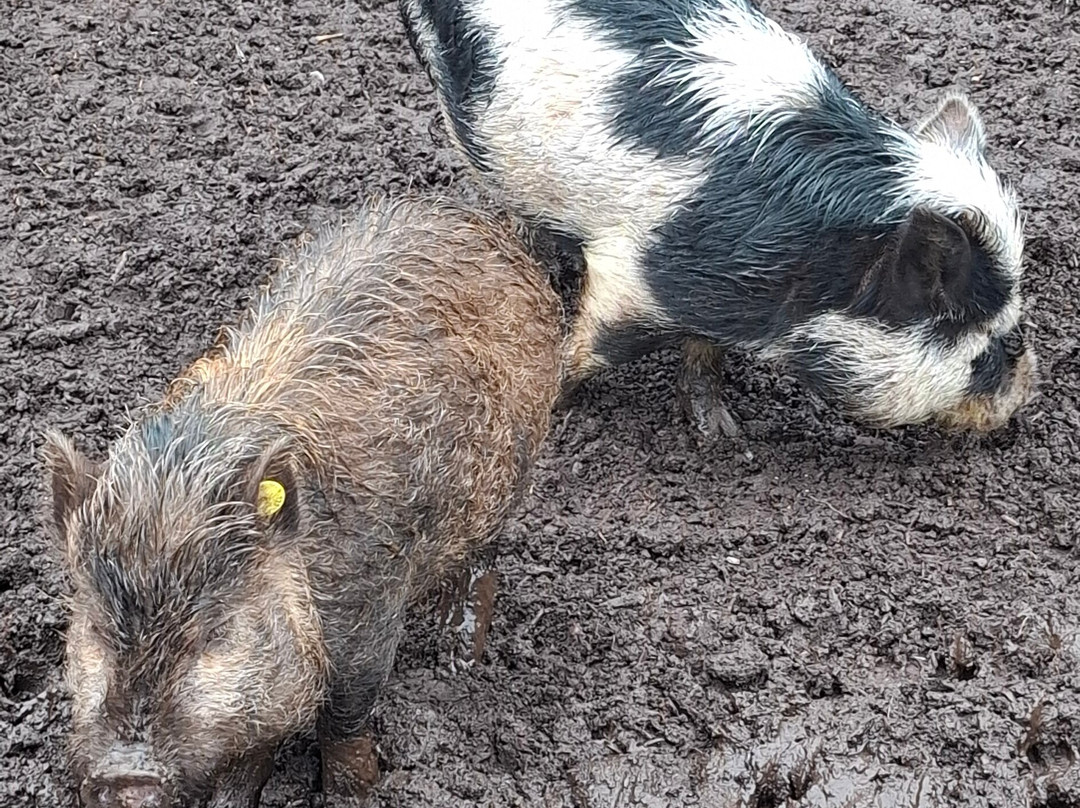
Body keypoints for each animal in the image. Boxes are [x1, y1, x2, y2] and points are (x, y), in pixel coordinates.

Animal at [42, 197, 564, 808]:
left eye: (217, 632)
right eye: (96, 630)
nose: (129, 775)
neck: (179, 482)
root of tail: (479, 221)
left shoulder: (367, 612)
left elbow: (343, 721)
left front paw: (352, 794)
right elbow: (248, 751)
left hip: (510, 479)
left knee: (482, 568)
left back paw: (458, 659)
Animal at [400, 0, 1036, 437]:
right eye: (998, 342)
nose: (1026, 394)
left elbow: (704, 353)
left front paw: (722, 433)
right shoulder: (633, 277)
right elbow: (592, 345)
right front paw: (557, 402)